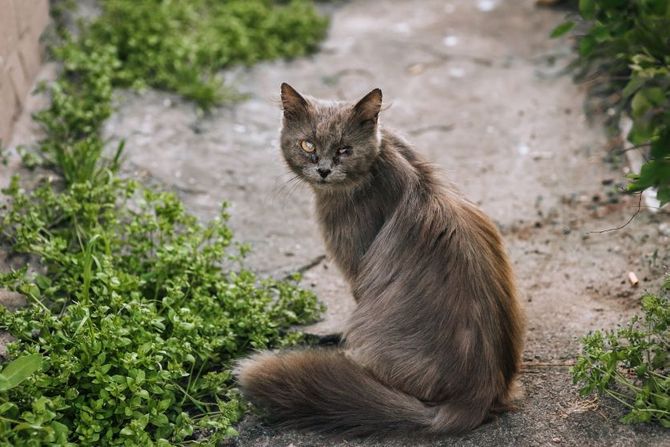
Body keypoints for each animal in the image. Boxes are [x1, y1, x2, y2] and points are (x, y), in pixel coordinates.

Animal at [234, 84, 528, 438]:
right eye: (308, 145)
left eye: (344, 149)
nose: (324, 170)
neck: (382, 159)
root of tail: (475, 397)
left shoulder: (356, 262)